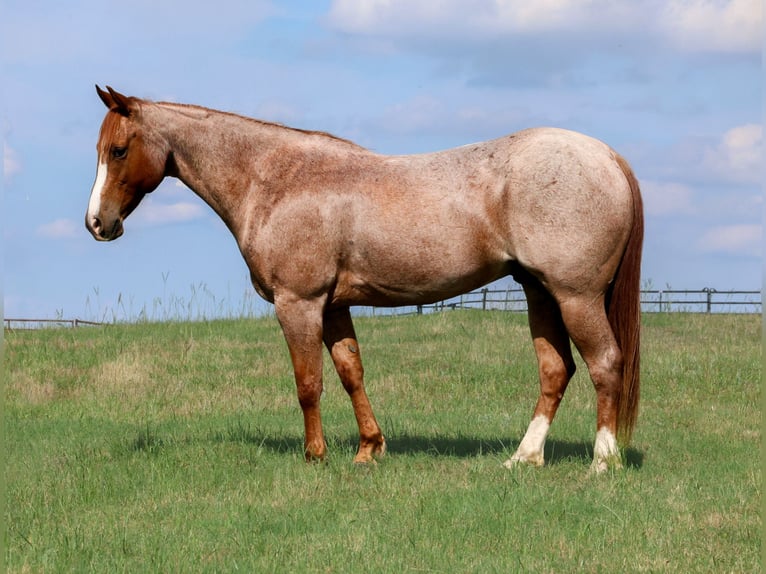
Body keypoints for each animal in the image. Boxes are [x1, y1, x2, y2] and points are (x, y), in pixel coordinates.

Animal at [86, 85, 643, 472]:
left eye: (118, 150)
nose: (96, 223)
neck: (276, 180)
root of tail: (606, 156)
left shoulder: (299, 302)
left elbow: (308, 382)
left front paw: (315, 456)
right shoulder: (334, 305)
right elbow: (351, 372)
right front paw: (369, 450)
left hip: (575, 296)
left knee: (605, 364)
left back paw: (602, 462)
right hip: (539, 293)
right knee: (555, 371)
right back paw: (523, 459)